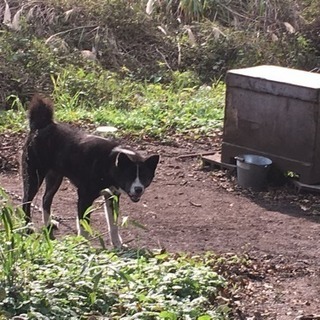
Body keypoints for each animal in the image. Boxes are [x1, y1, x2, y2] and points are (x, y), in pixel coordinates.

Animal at [21, 95, 159, 248]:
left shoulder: (112, 197)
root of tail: (41, 125)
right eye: (129, 176)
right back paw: (28, 228)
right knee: (26, 202)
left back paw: (49, 224)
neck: (109, 163)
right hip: (33, 176)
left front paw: (117, 243)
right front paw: (82, 246)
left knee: (46, 199)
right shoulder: (84, 197)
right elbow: (84, 226)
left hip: (55, 178)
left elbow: (113, 224)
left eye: (145, 176)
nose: (138, 189)